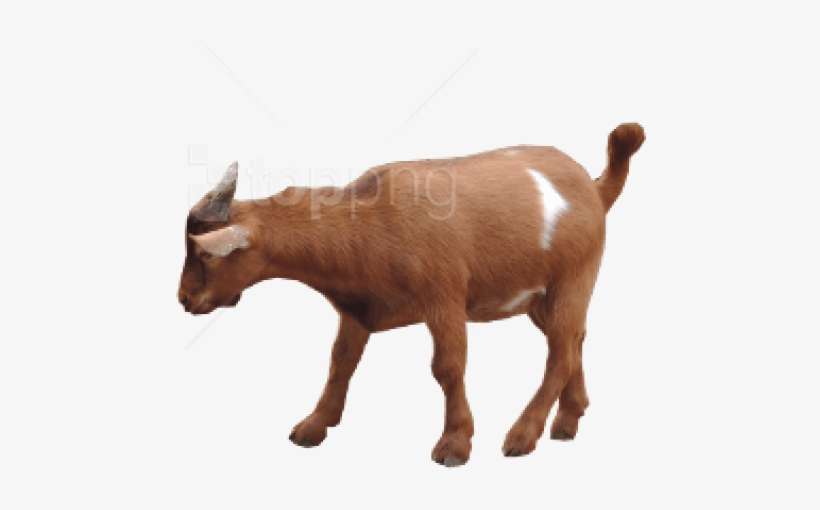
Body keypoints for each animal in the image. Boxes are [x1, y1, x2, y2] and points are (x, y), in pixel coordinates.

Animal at [178, 123, 645, 466]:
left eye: (205, 255)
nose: (184, 301)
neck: (365, 221)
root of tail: (592, 186)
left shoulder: (444, 299)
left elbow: (447, 367)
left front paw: (455, 444)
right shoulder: (357, 309)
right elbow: (340, 363)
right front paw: (313, 426)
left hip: (575, 277)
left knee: (561, 350)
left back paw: (523, 435)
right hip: (540, 298)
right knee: (573, 340)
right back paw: (568, 418)